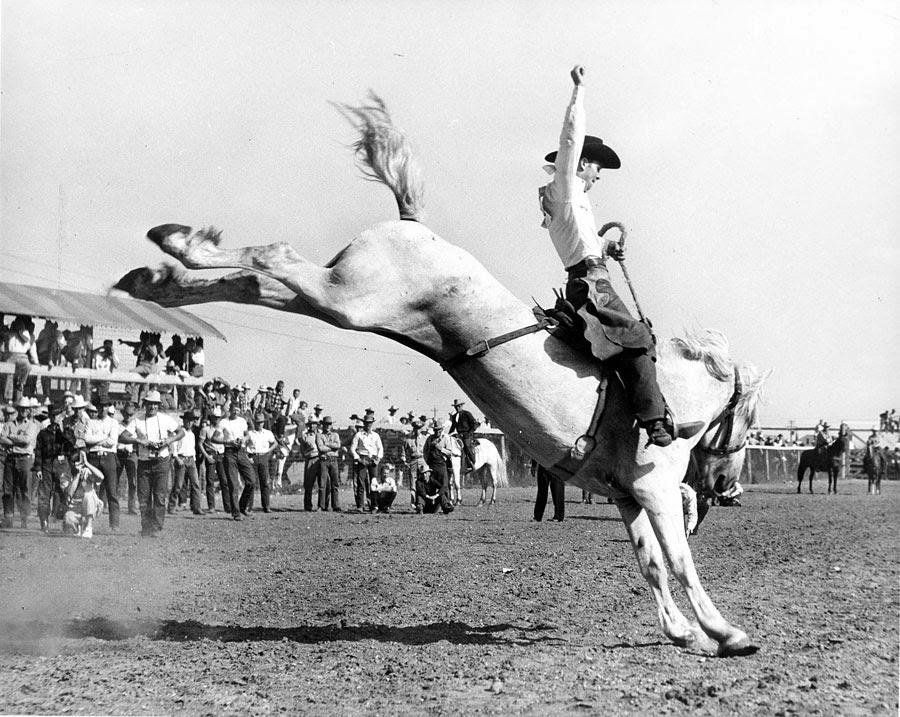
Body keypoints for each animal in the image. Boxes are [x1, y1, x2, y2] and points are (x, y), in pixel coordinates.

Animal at [114, 93, 768, 657]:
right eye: (744, 420)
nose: (726, 485)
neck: (671, 393)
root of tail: (414, 224)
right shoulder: (656, 489)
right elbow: (679, 559)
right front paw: (726, 632)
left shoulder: (629, 497)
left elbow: (652, 564)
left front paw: (683, 632)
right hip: (352, 296)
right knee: (274, 257)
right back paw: (175, 250)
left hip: (343, 301)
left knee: (257, 281)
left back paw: (156, 273)